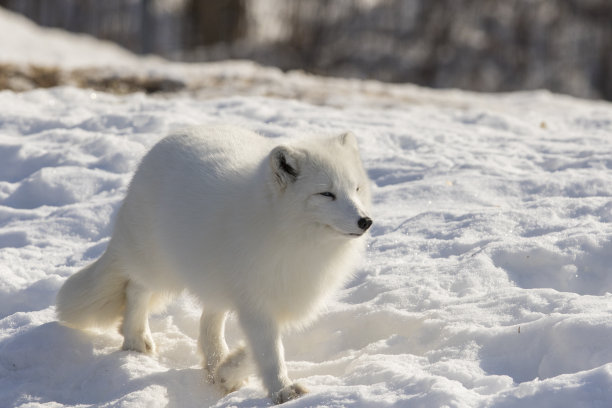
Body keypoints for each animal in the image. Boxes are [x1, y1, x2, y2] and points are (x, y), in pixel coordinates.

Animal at [56, 125, 372, 404]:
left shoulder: (281, 296)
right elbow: (269, 351)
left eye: (356, 189)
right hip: (159, 266)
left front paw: (228, 372)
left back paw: (215, 362)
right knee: (136, 288)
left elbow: (261, 347)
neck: (292, 236)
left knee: (209, 319)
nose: (365, 221)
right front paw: (282, 391)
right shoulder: (257, 300)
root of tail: (171, 137)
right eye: (326, 194)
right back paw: (135, 340)